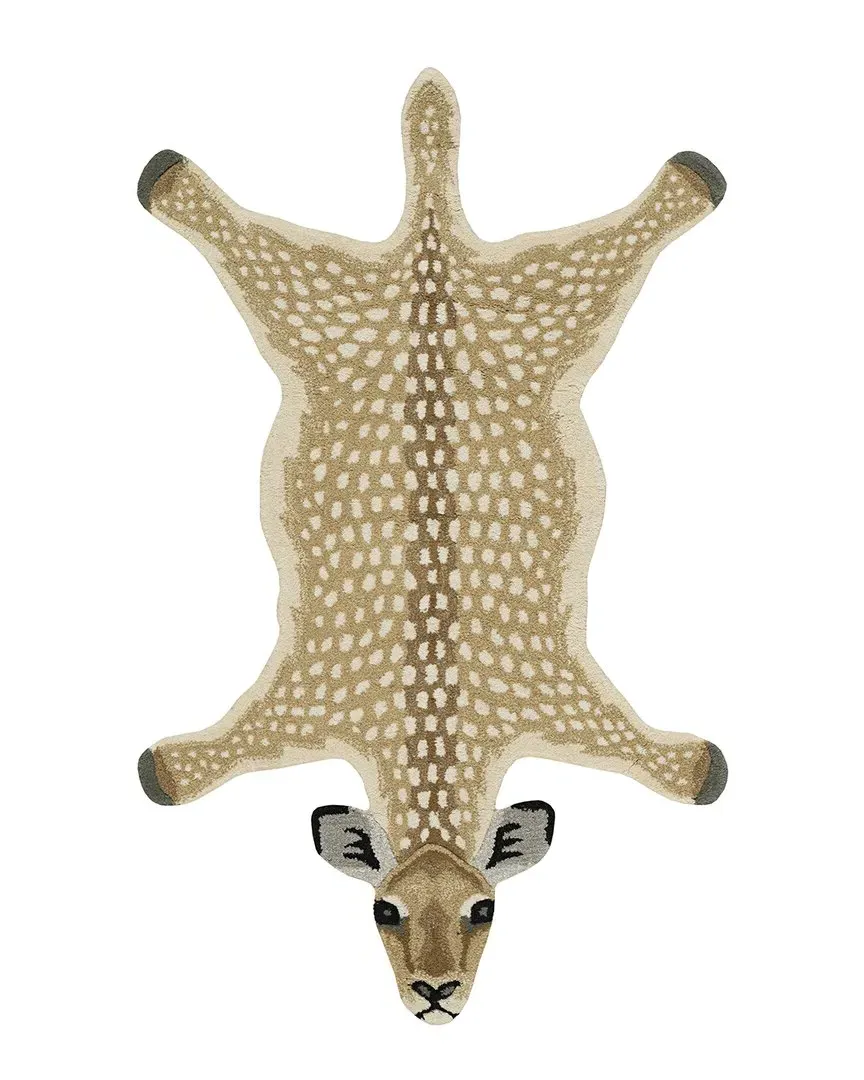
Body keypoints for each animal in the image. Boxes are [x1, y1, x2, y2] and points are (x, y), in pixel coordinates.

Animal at [136, 69, 728, 1022]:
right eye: (382, 909)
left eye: (488, 908)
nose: (435, 994)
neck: (433, 709)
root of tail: (431, 240)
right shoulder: (296, 703)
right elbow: (200, 763)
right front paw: (173, 765)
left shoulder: (567, 699)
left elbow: (661, 758)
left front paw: (691, 763)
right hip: (321, 294)